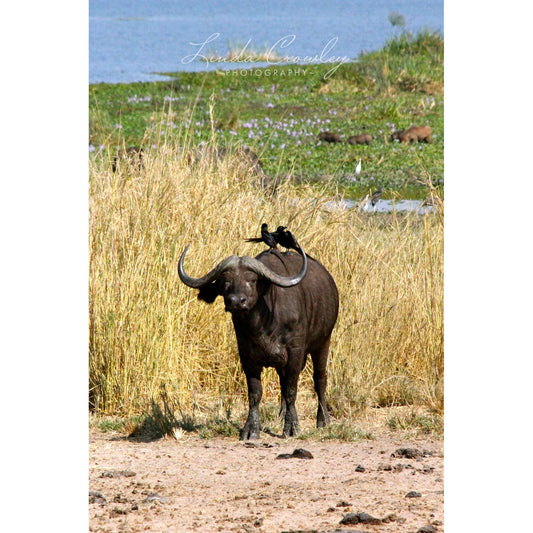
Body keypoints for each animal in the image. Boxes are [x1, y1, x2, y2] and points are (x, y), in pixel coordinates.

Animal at [178, 243, 336, 438]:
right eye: (225, 281)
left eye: (251, 280)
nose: (236, 301)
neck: (262, 325)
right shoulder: (246, 354)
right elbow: (255, 393)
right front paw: (251, 429)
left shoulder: (295, 351)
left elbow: (291, 390)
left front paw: (291, 427)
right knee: (283, 383)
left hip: (323, 342)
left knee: (319, 379)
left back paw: (323, 420)